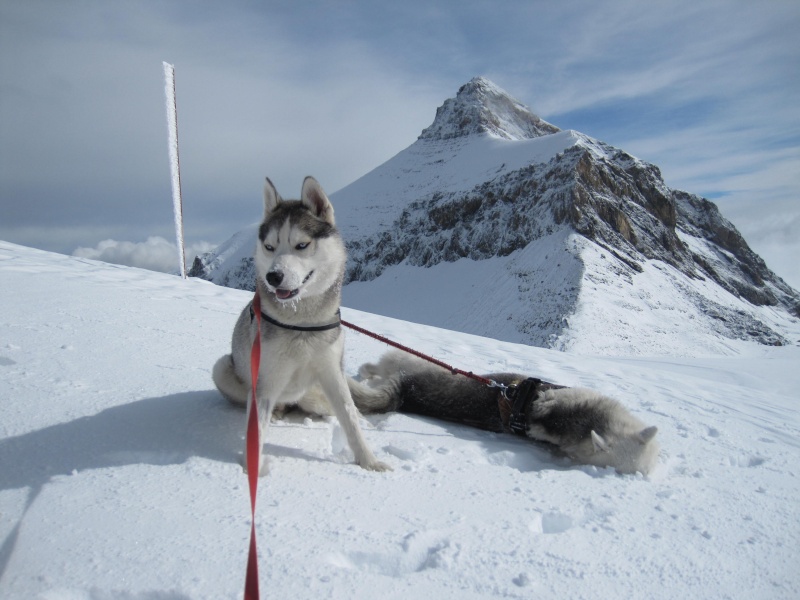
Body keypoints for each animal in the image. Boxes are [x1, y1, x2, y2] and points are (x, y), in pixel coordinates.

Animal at [211, 176, 390, 476]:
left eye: (302, 245)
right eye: (269, 247)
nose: (273, 276)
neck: (301, 323)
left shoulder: (332, 372)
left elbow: (350, 418)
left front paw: (369, 461)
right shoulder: (265, 381)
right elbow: (256, 430)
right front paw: (252, 469)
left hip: (316, 394)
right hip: (223, 367)